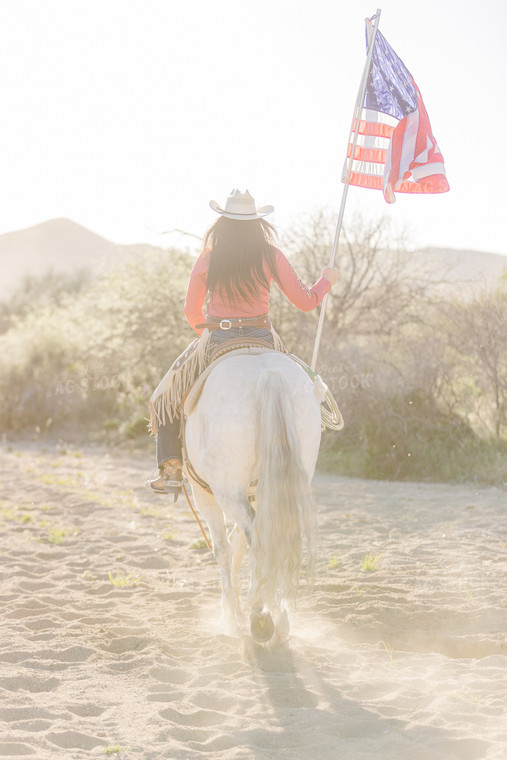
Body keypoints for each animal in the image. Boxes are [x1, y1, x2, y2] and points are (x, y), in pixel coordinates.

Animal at [185, 350, 324, 640]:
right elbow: (238, 541)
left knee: (259, 542)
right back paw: (279, 616)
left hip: (226, 491)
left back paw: (259, 613)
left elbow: (222, 548)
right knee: (277, 537)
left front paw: (229, 614)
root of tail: (267, 373)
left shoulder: (205, 493)